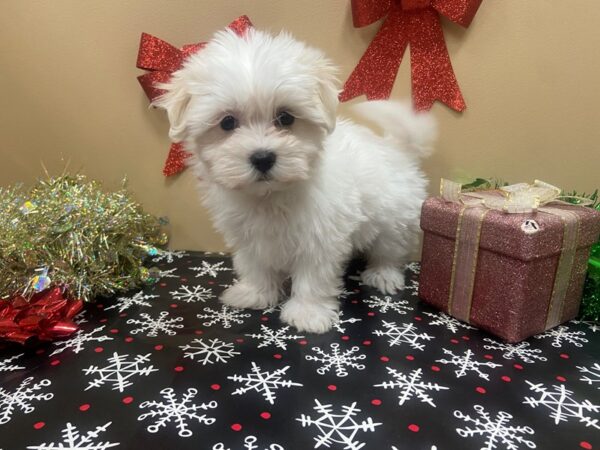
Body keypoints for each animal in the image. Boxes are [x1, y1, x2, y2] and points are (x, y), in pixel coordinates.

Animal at [154, 26, 436, 332]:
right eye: (227, 123)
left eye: (286, 117)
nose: (262, 157)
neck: (270, 196)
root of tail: (396, 148)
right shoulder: (249, 237)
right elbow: (255, 266)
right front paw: (254, 293)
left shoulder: (320, 237)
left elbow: (314, 276)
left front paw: (308, 313)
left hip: (395, 217)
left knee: (390, 248)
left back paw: (384, 274)